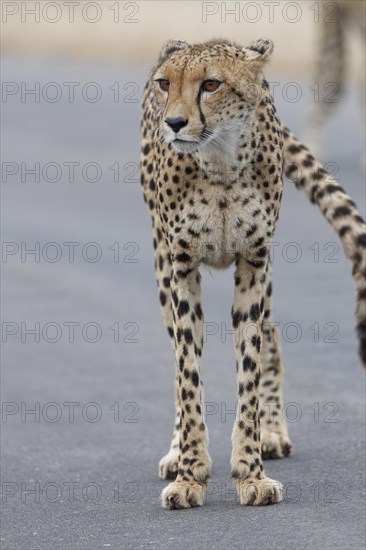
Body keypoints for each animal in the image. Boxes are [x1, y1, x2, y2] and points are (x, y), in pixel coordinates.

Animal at [140, 38, 366, 512]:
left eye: (211, 84)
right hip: (161, 264)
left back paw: (273, 433)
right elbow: (188, 375)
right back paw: (175, 451)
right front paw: (190, 474)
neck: (221, 162)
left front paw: (250, 471)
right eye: (166, 84)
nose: (174, 122)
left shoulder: (253, 263)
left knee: (272, 336)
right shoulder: (182, 268)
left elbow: (250, 368)